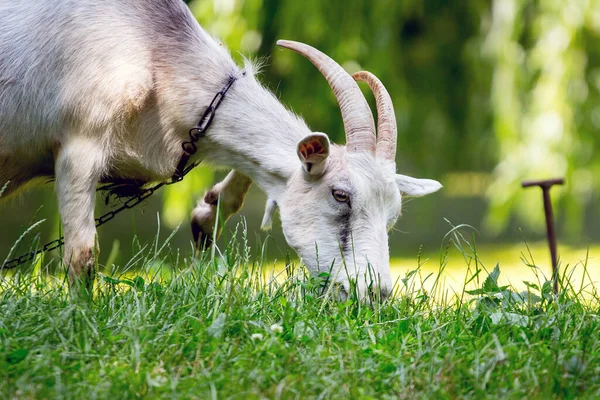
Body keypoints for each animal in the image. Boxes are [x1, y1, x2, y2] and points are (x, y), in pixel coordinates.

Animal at [0, 0, 440, 298]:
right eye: (340, 194)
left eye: (393, 214)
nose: (376, 294)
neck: (152, 53)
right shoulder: (79, 144)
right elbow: (81, 255)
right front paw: (81, 322)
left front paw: (205, 216)